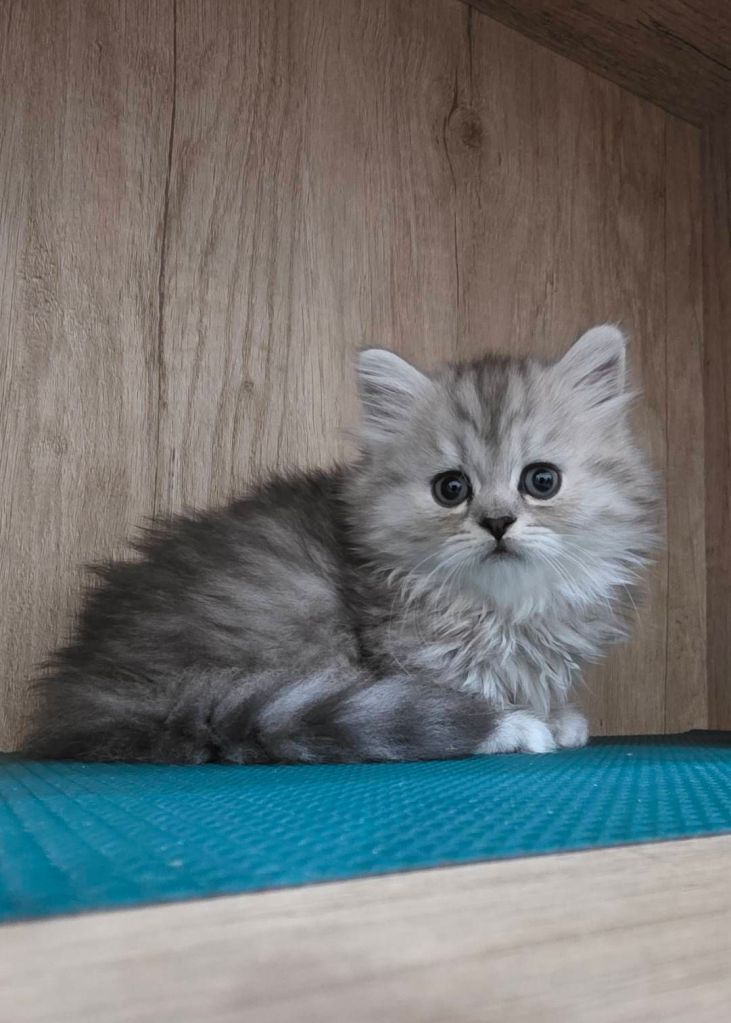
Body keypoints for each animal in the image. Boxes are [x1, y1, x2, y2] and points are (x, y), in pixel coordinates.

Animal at [26, 324, 656, 764]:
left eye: (540, 480)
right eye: (451, 488)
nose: (497, 522)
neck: (503, 607)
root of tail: (84, 681)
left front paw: (559, 714)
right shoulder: (409, 656)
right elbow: (457, 694)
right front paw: (521, 723)